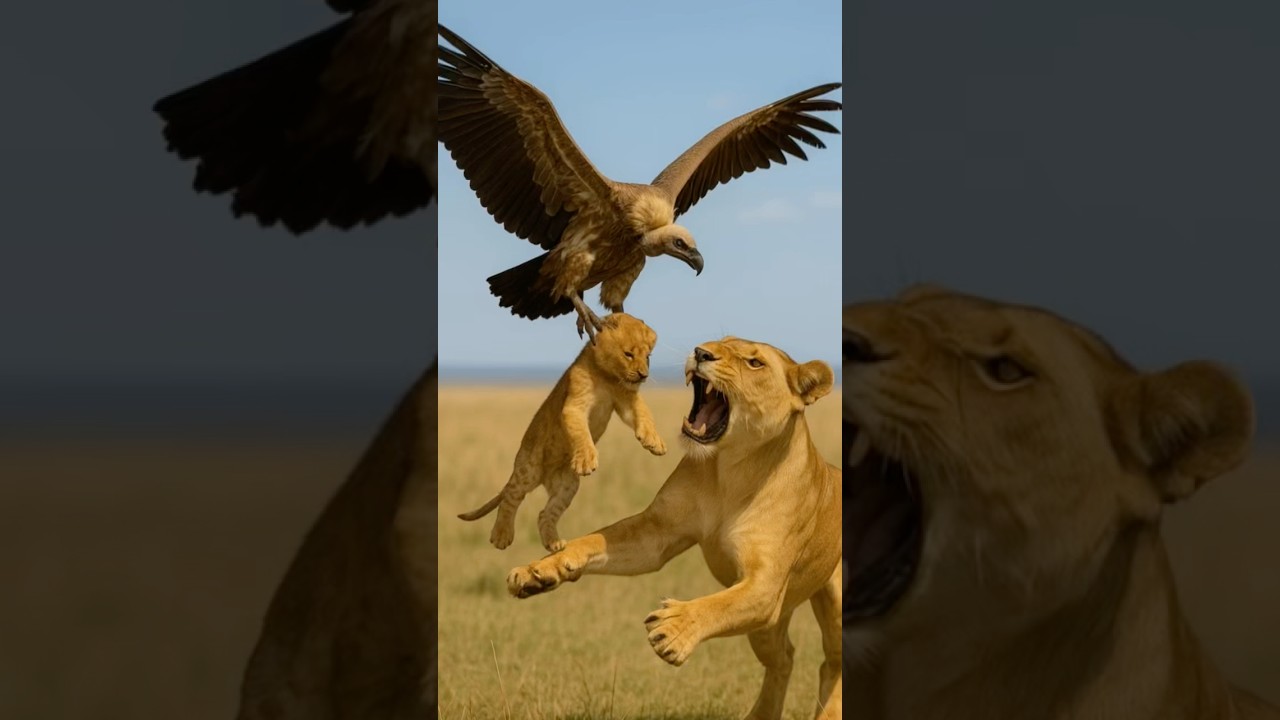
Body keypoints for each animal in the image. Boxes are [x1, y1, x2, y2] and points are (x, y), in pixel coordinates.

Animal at [458, 312, 666, 552]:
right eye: (628, 354)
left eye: (648, 357)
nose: (643, 375)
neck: (607, 376)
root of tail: (543, 477)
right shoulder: (574, 406)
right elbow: (581, 432)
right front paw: (586, 460)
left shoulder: (626, 398)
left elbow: (644, 413)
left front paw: (655, 442)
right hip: (527, 469)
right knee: (511, 496)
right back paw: (501, 535)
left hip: (567, 486)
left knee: (544, 513)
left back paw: (554, 543)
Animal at [507, 337, 843, 720]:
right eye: (719, 342)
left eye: (754, 362)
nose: (701, 352)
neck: (732, 469)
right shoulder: (655, 534)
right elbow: (592, 542)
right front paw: (538, 570)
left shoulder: (765, 584)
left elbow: (720, 605)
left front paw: (674, 627)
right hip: (770, 624)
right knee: (784, 657)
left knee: (833, 661)